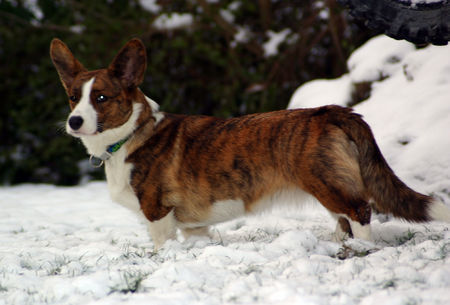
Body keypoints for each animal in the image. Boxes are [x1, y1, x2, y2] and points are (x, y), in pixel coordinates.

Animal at [50, 38, 450, 248]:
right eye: (73, 97)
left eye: (101, 98)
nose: (74, 122)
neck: (132, 134)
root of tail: (334, 111)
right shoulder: (194, 226)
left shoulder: (157, 214)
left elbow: (160, 246)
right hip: (332, 184)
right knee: (344, 219)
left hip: (327, 184)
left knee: (360, 211)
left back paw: (362, 249)